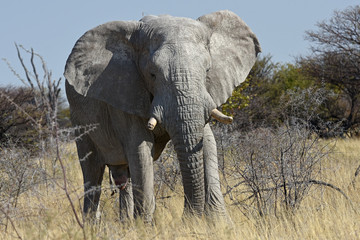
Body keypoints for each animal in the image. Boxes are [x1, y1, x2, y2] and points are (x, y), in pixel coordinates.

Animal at [64, 10, 260, 222]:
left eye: (207, 70)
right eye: (152, 74)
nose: (188, 216)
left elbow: (208, 141)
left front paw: (219, 223)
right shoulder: (126, 93)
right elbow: (140, 148)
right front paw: (145, 225)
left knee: (124, 175)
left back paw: (126, 223)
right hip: (78, 119)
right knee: (92, 172)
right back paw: (92, 225)